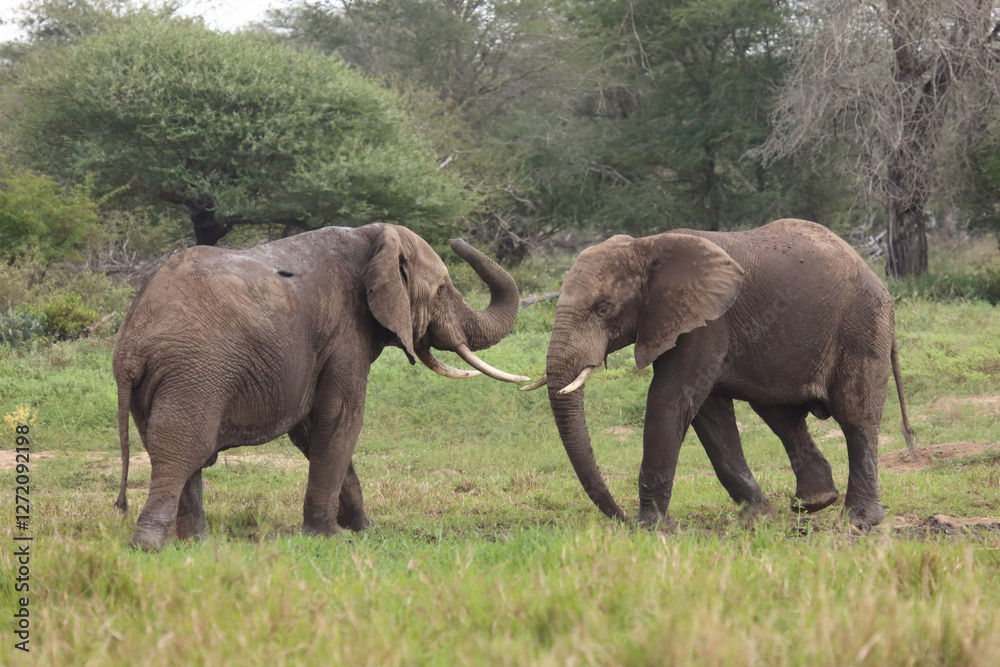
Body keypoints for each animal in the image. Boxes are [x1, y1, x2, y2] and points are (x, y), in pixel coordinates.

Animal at [113, 223, 529, 550]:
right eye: (442, 289)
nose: (458, 238)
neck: (372, 237)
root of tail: (132, 343)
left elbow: (314, 430)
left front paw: (366, 530)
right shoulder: (346, 332)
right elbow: (342, 418)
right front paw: (334, 537)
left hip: (164, 382)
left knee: (177, 451)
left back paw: (197, 544)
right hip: (195, 371)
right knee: (180, 450)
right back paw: (149, 546)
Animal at [524, 218, 915, 530]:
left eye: (604, 309)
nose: (622, 518)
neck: (645, 246)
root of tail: (869, 270)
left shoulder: (706, 322)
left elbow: (671, 398)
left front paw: (652, 528)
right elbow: (708, 413)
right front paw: (757, 520)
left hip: (863, 326)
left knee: (855, 415)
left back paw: (859, 521)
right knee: (782, 416)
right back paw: (814, 503)